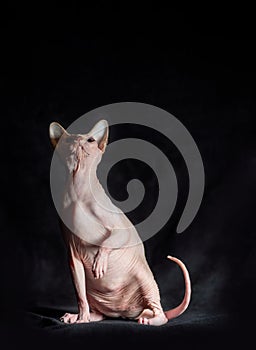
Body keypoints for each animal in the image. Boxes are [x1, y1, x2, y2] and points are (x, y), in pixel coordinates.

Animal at [49, 119, 191, 326]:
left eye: (90, 140)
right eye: (68, 140)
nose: (78, 141)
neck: (77, 191)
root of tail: (122, 313)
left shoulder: (119, 226)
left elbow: (114, 238)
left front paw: (100, 261)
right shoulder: (72, 255)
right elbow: (80, 295)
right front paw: (81, 319)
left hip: (144, 278)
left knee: (160, 312)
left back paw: (150, 320)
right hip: (95, 294)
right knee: (95, 308)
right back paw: (83, 317)